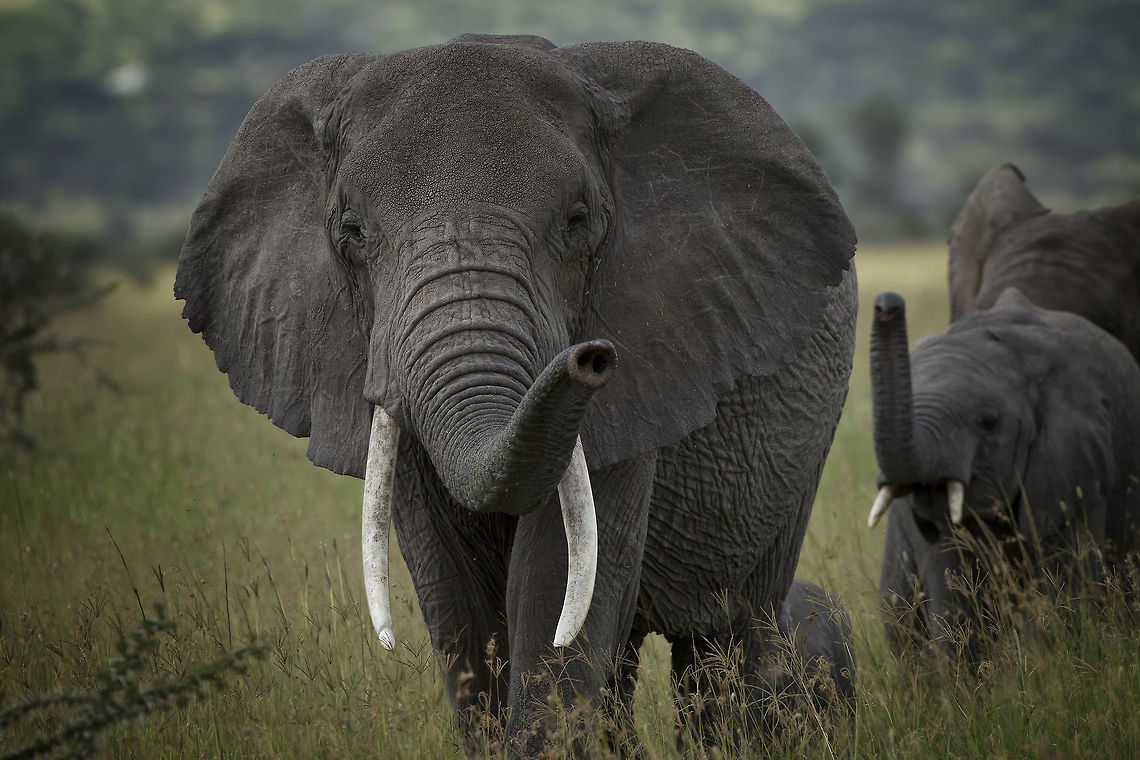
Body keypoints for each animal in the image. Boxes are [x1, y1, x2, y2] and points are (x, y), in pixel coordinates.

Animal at [173, 33, 857, 755]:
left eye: (578, 221)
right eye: (350, 231)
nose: (590, 358)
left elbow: (554, 581)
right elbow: (454, 594)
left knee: (727, 645)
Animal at [866, 287, 1140, 656]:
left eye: (988, 422)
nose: (886, 304)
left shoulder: (1077, 469)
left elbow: (1067, 589)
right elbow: (953, 593)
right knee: (899, 615)